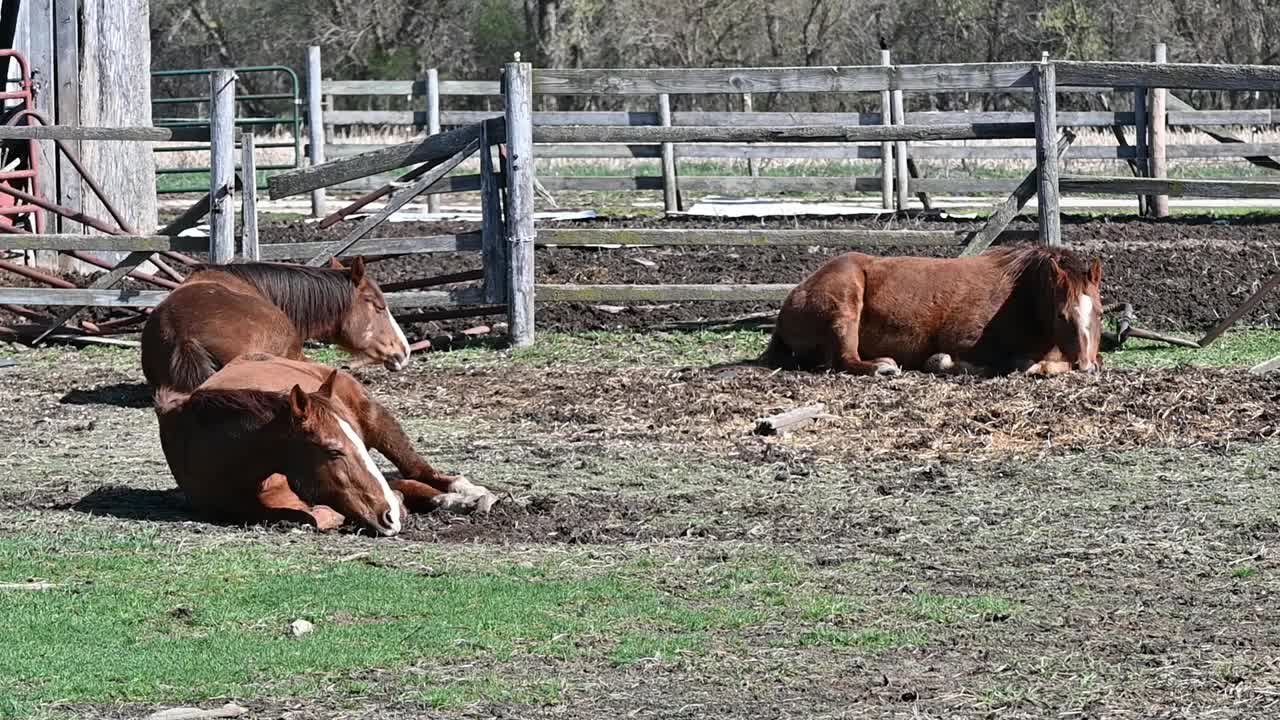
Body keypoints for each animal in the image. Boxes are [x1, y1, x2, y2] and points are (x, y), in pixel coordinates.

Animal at [762, 242, 1105, 376]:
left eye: (1100, 313)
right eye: (1061, 314)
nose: (1087, 367)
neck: (1022, 296)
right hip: (844, 307)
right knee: (846, 359)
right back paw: (883, 366)